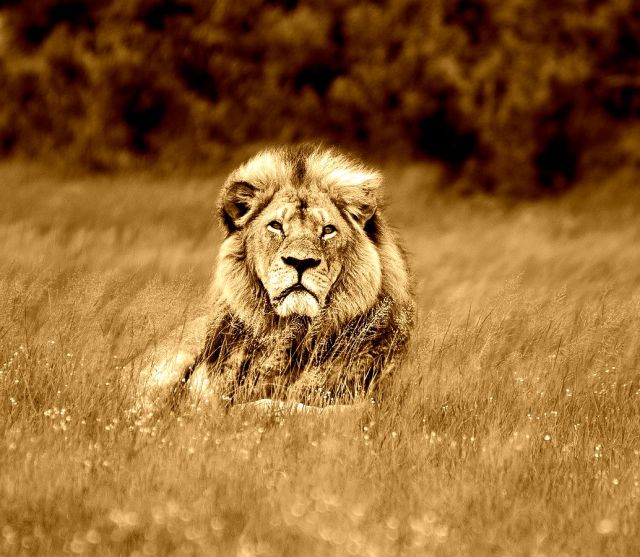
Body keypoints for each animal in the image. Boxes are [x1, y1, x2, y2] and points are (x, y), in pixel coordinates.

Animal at [137, 144, 415, 414]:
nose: (301, 262)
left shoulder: (374, 403)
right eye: (276, 226)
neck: (294, 335)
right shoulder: (203, 393)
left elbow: (295, 409)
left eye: (327, 230)